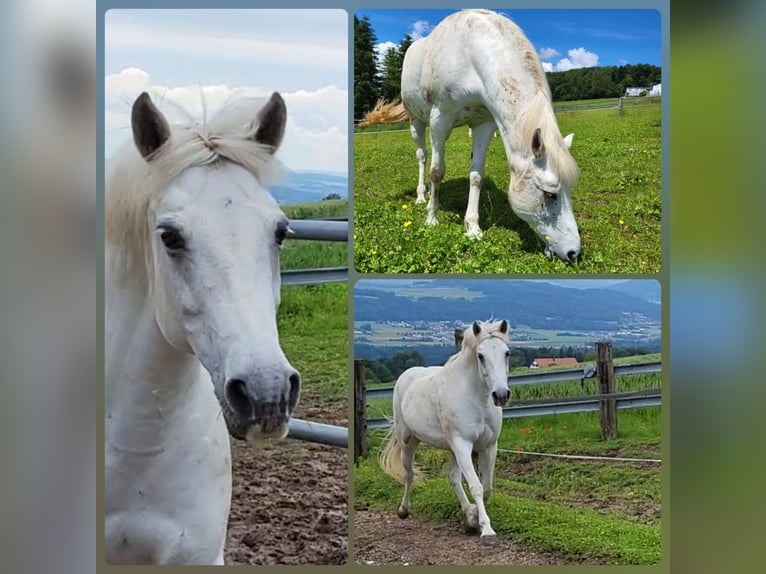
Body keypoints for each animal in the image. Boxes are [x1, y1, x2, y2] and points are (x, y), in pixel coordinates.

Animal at [360, 9, 584, 264]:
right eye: (549, 193)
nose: (573, 252)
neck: (472, 56)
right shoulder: (440, 119)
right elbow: (436, 172)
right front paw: (432, 218)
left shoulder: (484, 124)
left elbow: (476, 176)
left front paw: (473, 228)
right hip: (416, 121)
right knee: (422, 157)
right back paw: (421, 196)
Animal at [380, 322, 512, 548]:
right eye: (480, 356)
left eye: (506, 353)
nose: (501, 395)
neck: (477, 399)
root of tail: (406, 375)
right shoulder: (463, 444)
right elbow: (476, 487)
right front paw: (487, 531)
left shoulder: (488, 445)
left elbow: (487, 487)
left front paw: (473, 518)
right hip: (409, 441)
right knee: (409, 474)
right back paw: (403, 510)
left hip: (451, 448)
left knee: (453, 478)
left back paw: (468, 516)